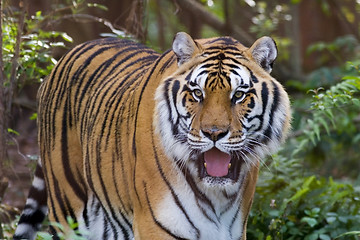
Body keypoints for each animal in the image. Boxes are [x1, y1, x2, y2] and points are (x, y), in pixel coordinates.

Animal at [12, 32, 292, 240]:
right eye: (197, 94)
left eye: (239, 95)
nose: (214, 133)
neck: (217, 196)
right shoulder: (157, 225)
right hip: (67, 212)